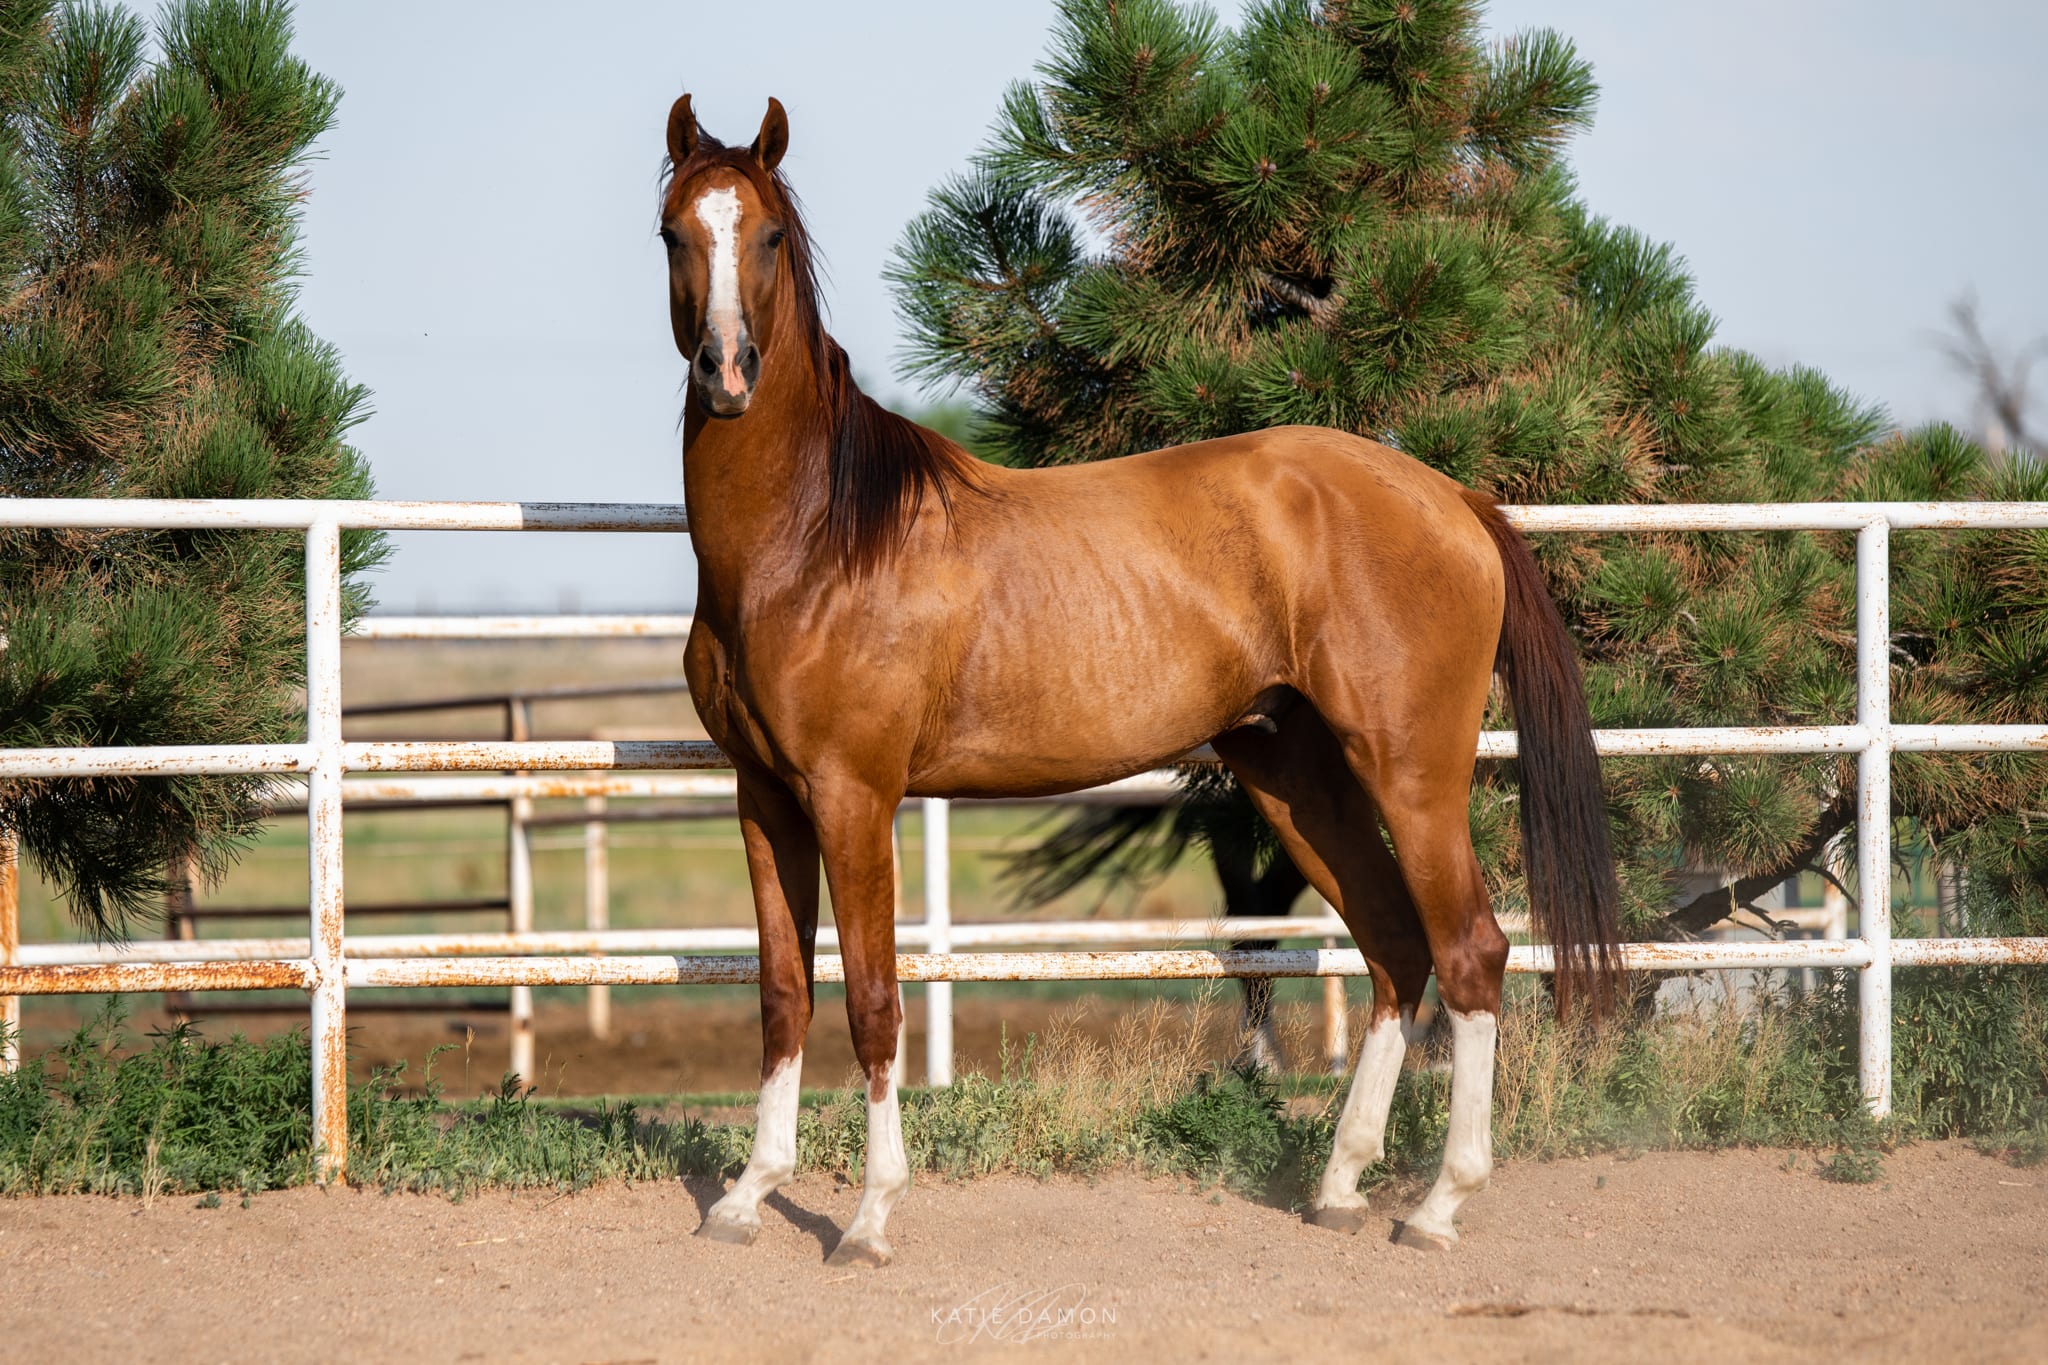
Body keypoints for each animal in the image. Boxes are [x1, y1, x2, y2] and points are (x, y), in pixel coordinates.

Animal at [660, 94, 1623, 1267]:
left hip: (1412, 771)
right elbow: (783, 995)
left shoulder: (854, 796)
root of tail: (1454, 500)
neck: (815, 540)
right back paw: (1339, 1184)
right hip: (1292, 772)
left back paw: (1438, 1206)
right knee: (1397, 945)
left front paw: (871, 1217)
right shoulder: (763, 797)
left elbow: (875, 1000)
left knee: (1471, 949)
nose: (727, 373)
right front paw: (747, 1196)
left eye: (765, 237)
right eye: (673, 232)